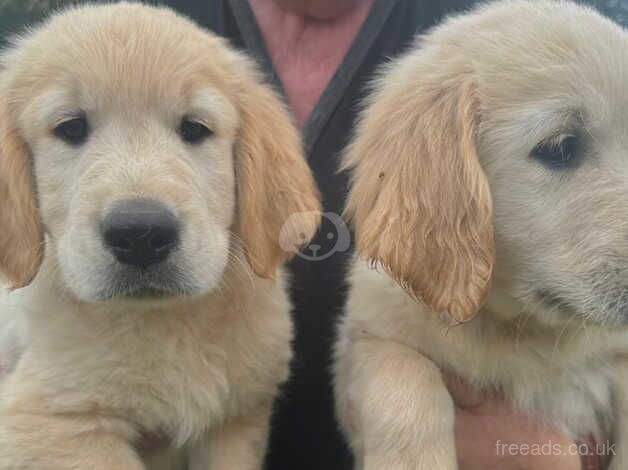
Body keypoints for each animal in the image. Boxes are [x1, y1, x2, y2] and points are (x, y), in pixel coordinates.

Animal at [0, 1, 322, 468]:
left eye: (194, 128)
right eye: (71, 128)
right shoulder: (53, 421)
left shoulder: (235, 421)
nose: (140, 234)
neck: (166, 320)